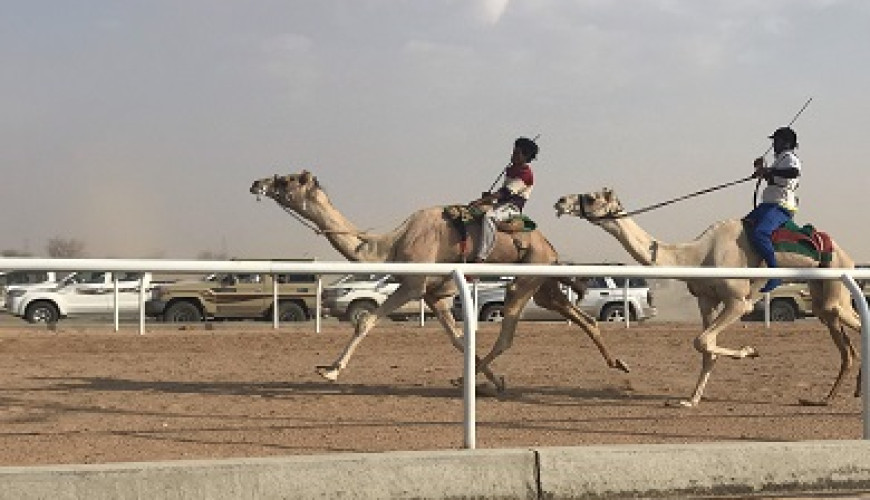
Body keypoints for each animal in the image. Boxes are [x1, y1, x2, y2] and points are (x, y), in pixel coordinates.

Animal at [249, 172, 632, 390]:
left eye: (285, 180)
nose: (257, 183)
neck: (389, 245)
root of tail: (551, 248)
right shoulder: (436, 297)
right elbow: (459, 340)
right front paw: (492, 378)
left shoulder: (413, 286)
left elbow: (366, 320)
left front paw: (330, 371)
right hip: (544, 286)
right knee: (582, 317)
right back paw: (619, 364)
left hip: (524, 281)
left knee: (509, 333)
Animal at [556, 188, 860, 406]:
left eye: (591, 197)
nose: (560, 201)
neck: (697, 255)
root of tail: (846, 255)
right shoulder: (706, 299)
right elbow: (706, 348)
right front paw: (690, 400)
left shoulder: (738, 301)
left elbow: (702, 341)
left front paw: (749, 351)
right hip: (822, 295)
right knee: (843, 343)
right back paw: (826, 398)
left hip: (836, 282)